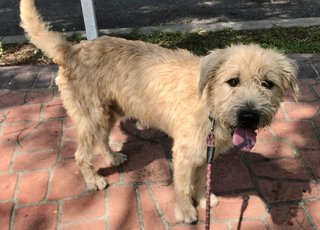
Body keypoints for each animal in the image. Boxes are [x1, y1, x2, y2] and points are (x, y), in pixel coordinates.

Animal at [20, 0, 300, 224]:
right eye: (233, 81)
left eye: (268, 84)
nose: (249, 116)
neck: (210, 106)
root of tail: (73, 49)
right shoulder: (184, 154)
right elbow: (182, 186)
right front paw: (186, 211)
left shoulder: (203, 154)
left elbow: (200, 180)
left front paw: (203, 199)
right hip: (93, 116)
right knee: (80, 154)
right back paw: (93, 181)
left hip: (108, 114)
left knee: (101, 140)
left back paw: (112, 157)